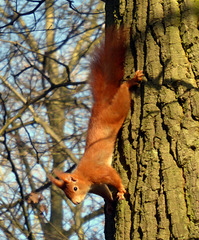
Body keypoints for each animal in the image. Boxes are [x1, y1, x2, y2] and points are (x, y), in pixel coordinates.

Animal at [49, 27, 143, 204]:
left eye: (75, 188)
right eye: (67, 194)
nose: (76, 202)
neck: (84, 178)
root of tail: (100, 106)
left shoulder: (99, 172)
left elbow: (113, 177)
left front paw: (120, 190)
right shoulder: (98, 187)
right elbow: (106, 193)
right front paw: (111, 201)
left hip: (117, 110)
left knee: (123, 93)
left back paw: (131, 81)